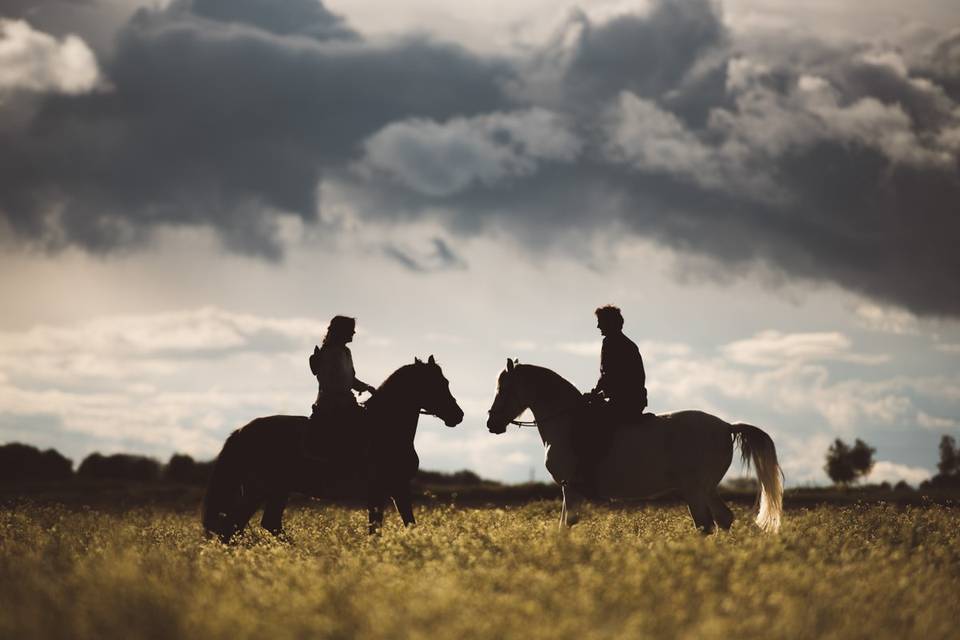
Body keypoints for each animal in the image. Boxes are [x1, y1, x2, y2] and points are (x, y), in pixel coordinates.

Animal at [201, 356, 464, 540]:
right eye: (436, 384)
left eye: (446, 382)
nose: (458, 415)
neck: (384, 427)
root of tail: (242, 431)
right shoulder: (383, 490)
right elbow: (379, 530)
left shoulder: (395, 489)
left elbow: (404, 525)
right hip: (260, 489)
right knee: (232, 527)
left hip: (277, 489)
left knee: (265, 524)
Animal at [484, 360, 784, 536]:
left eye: (504, 389)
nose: (491, 423)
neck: (566, 422)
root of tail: (726, 426)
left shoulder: (570, 487)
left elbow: (566, 525)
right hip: (707, 489)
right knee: (723, 520)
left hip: (695, 489)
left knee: (706, 525)